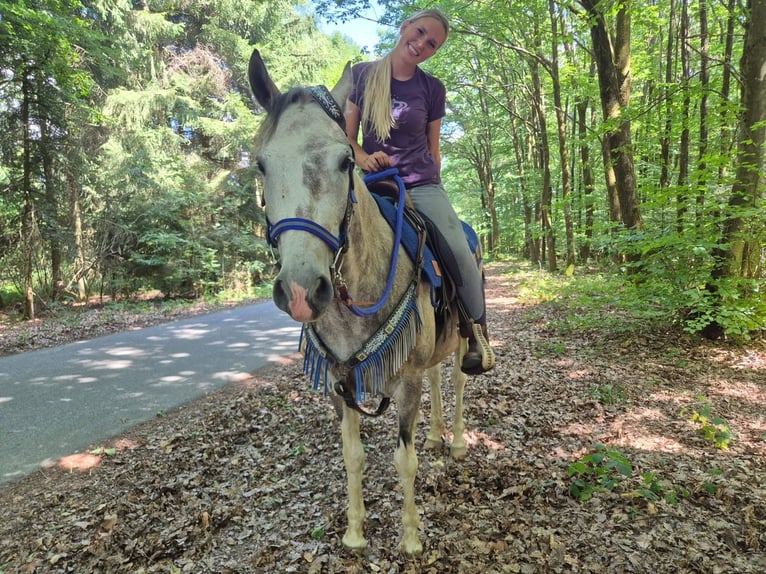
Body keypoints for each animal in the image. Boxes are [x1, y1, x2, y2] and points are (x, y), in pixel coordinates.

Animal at [248, 49, 472, 555]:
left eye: (346, 161)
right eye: (261, 165)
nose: (301, 290)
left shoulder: (405, 381)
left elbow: (404, 460)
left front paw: (410, 538)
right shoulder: (340, 381)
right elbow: (353, 455)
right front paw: (354, 531)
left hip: (463, 344)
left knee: (457, 381)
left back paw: (456, 443)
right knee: (438, 381)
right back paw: (436, 436)